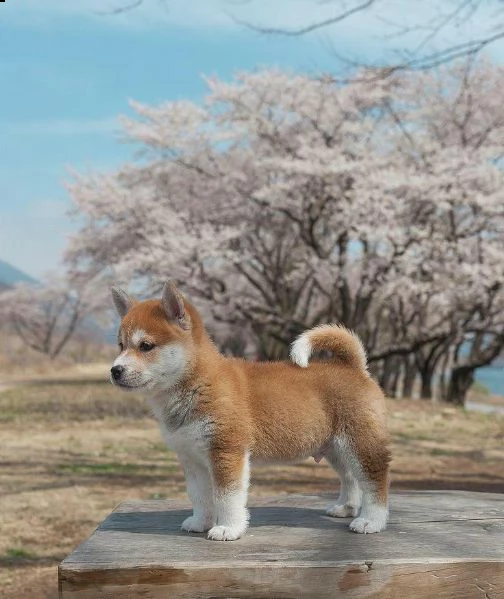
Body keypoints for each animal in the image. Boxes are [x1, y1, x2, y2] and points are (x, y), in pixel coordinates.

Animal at [112, 284, 392, 540]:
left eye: (146, 346)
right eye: (121, 345)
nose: (115, 370)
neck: (199, 383)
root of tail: (353, 367)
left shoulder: (227, 450)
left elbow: (226, 497)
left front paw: (228, 528)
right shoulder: (192, 458)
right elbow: (200, 496)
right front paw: (200, 522)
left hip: (360, 443)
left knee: (374, 481)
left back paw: (371, 520)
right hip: (336, 448)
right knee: (351, 478)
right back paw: (346, 508)